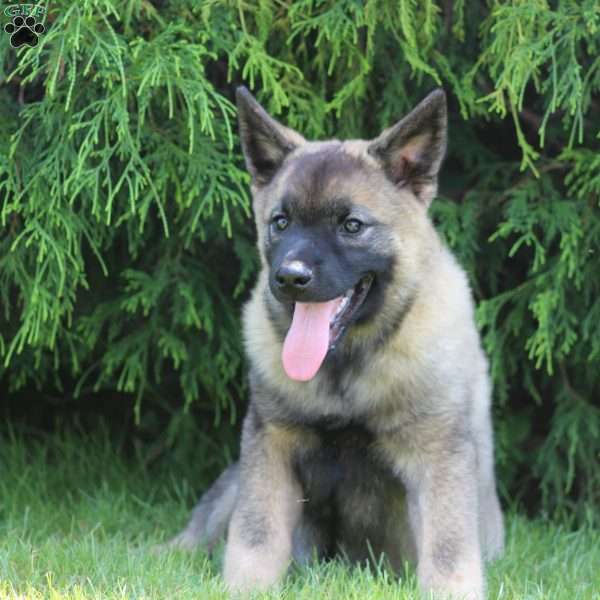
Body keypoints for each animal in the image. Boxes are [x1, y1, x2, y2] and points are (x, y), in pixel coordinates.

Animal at [171, 85, 504, 600]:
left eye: (351, 225)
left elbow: (448, 549)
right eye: (281, 222)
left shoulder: (438, 453)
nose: (291, 278)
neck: (346, 365)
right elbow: (256, 534)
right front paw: (247, 587)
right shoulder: (272, 443)